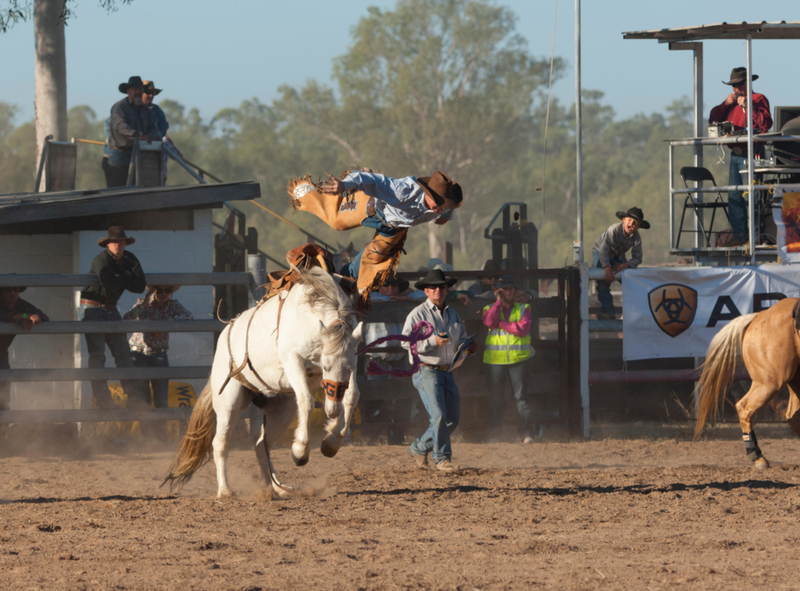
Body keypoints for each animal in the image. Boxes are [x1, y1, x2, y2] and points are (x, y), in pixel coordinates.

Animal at [162, 266, 362, 502]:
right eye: (325, 366)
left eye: (350, 367)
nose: (331, 410)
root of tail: (224, 336)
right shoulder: (292, 360)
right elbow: (306, 400)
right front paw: (300, 452)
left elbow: (352, 397)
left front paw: (331, 442)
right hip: (229, 402)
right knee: (220, 444)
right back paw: (225, 490)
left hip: (283, 410)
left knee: (260, 444)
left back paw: (275, 488)